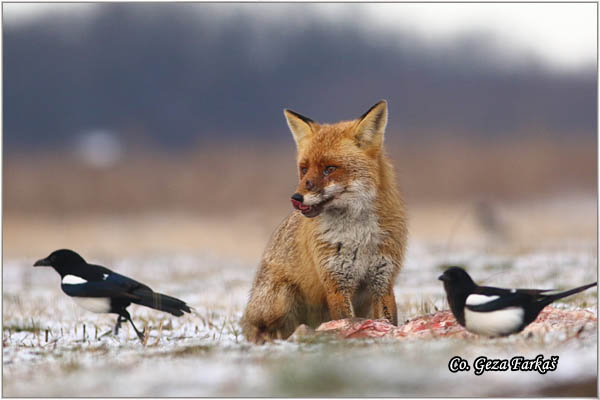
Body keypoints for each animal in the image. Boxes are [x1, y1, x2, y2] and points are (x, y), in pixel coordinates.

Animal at [241, 101, 406, 342]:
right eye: (303, 169)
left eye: (330, 169)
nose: (296, 198)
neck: (359, 233)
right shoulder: (336, 282)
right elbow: (345, 320)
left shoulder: (383, 280)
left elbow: (389, 319)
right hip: (281, 300)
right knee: (264, 331)